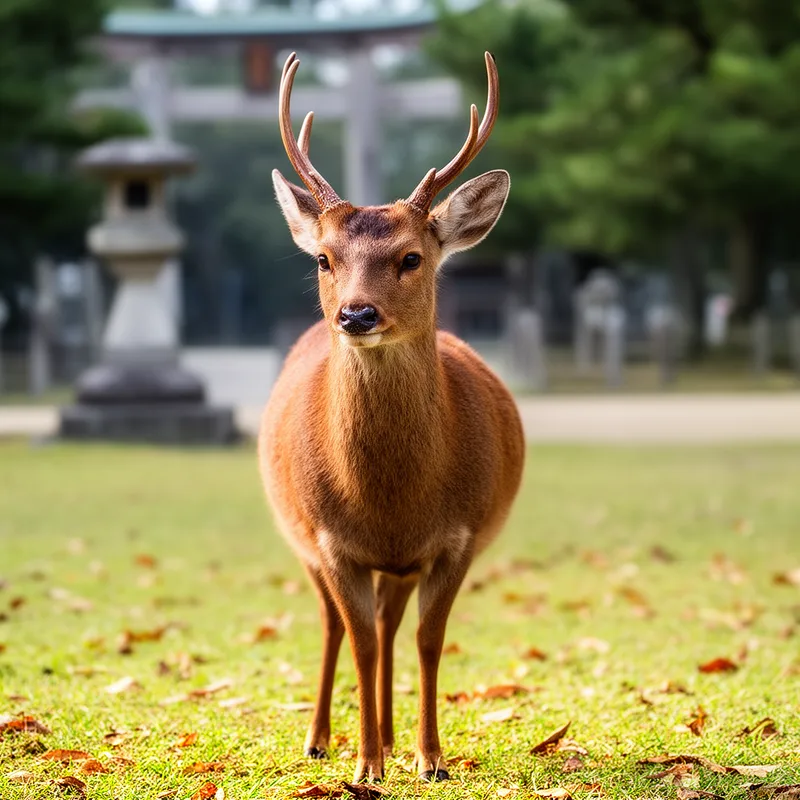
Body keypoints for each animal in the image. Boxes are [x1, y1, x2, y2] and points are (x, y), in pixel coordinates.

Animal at [258, 51, 525, 784]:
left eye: (411, 257)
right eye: (324, 258)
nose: (356, 314)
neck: (391, 501)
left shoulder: (461, 534)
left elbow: (429, 641)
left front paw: (430, 758)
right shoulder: (329, 540)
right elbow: (360, 641)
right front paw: (367, 765)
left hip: (398, 567)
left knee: (389, 625)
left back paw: (388, 733)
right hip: (299, 537)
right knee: (340, 627)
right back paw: (322, 739)